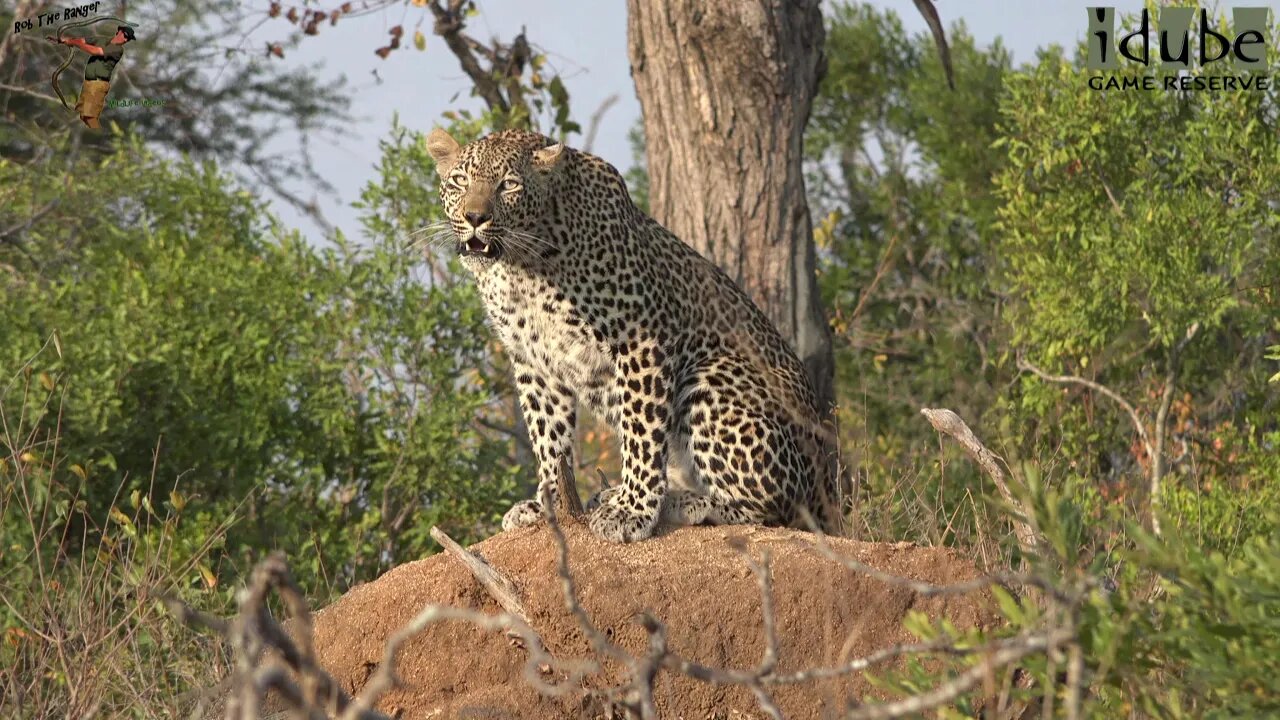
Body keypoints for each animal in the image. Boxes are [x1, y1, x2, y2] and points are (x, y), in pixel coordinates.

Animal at [424, 126, 844, 540]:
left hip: (709, 381)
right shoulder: (534, 361)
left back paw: (683, 502)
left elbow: (641, 432)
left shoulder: (641, 339)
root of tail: (828, 474)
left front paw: (633, 511)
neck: (520, 266)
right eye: (460, 181)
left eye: (508, 185)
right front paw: (548, 506)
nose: (475, 217)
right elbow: (548, 439)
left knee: (774, 509)